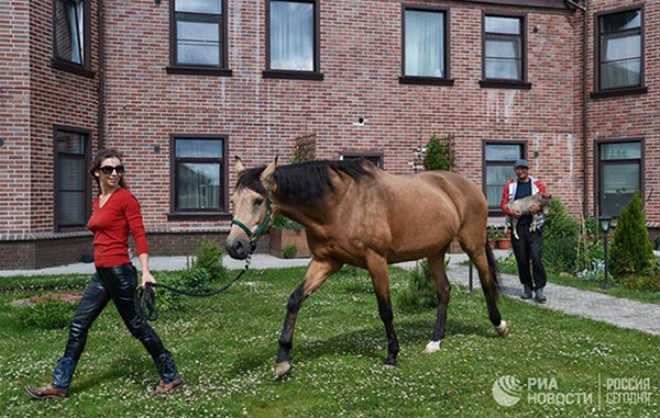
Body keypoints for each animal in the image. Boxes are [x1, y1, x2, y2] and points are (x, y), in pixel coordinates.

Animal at [224, 157, 508, 378]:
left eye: (258, 200)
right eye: (233, 200)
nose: (234, 246)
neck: (340, 204)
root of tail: (468, 186)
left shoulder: (376, 260)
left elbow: (386, 310)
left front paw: (392, 355)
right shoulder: (325, 262)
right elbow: (294, 300)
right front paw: (283, 360)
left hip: (472, 244)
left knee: (485, 280)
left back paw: (499, 325)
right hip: (435, 252)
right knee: (444, 290)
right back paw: (436, 341)